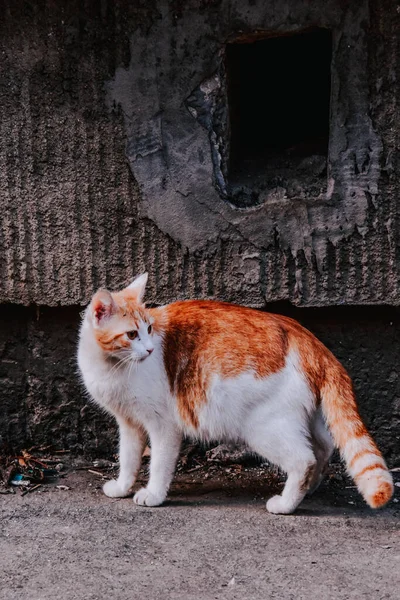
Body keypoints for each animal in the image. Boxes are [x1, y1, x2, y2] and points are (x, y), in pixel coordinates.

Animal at [76, 274, 392, 512]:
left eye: (150, 329)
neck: (111, 367)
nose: (151, 350)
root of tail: (308, 338)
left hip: (264, 428)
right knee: (324, 448)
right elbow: (128, 459)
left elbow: (159, 464)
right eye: (132, 335)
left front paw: (153, 494)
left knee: (304, 460)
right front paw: (122, 487)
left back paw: (286, 503)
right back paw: (310, 489)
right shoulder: (129, 424)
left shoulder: (163, 425)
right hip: (307, 419)